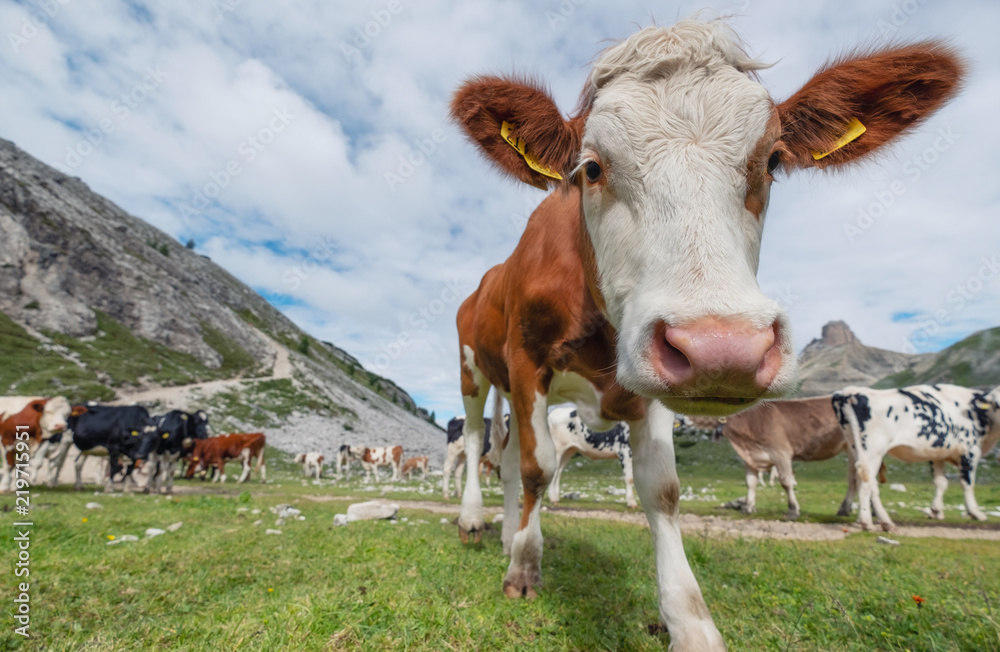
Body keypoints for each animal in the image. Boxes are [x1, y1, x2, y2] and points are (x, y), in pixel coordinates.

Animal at [452, 17, 960, 648]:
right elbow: (537, 467)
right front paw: (524, 567)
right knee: (482, 441)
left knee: (502, 451)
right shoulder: (529, 362)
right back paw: (476, 522)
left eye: (772, 161)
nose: (725, 349)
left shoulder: (653, 388)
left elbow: (663, 491)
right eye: (591, 167)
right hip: (475, 372)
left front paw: (690, 623)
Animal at [828, 384, 1000, 532]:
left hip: (855, 448)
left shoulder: (937, 453)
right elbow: (968, 484)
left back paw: (883, 521)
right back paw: (867, 522)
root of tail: (850, 392)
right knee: (866, 480)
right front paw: (976, 513)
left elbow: (941, 482)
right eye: (997, 404)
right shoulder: (970, 451)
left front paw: (936, 511)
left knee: (861, 479)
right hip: (873, 450)